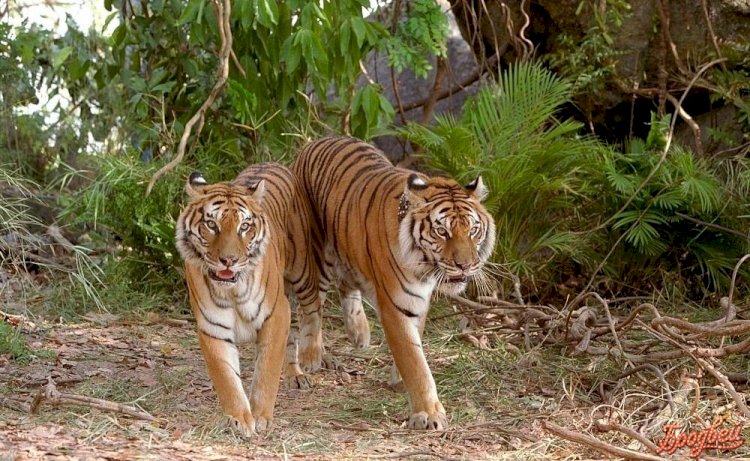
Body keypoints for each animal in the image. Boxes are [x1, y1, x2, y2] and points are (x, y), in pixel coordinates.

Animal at [177, 164, 324, 436]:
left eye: (244, 227)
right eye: (211, 224)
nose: (229, 260)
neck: (232, 290)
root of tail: (273, 163)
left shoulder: (276, 314)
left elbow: (266, 370)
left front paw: (262, 417)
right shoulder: (213, 328)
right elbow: (226, 378)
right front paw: (240, 419)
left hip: (302, 272)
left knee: (313, 309)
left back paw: (309, 360)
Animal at [294, 136, 500, 428]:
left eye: (473, 230)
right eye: (442, 231)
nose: (465, 265)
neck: (424, 268)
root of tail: (317, 140)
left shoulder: (419, 300)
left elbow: (416, 344)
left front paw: (401, 381)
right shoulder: (395, 305)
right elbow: (414, 360)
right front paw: (429, 413)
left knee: (346, 285)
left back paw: (359, 333)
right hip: (315, 252)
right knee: (311, 305)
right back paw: (310, 357)